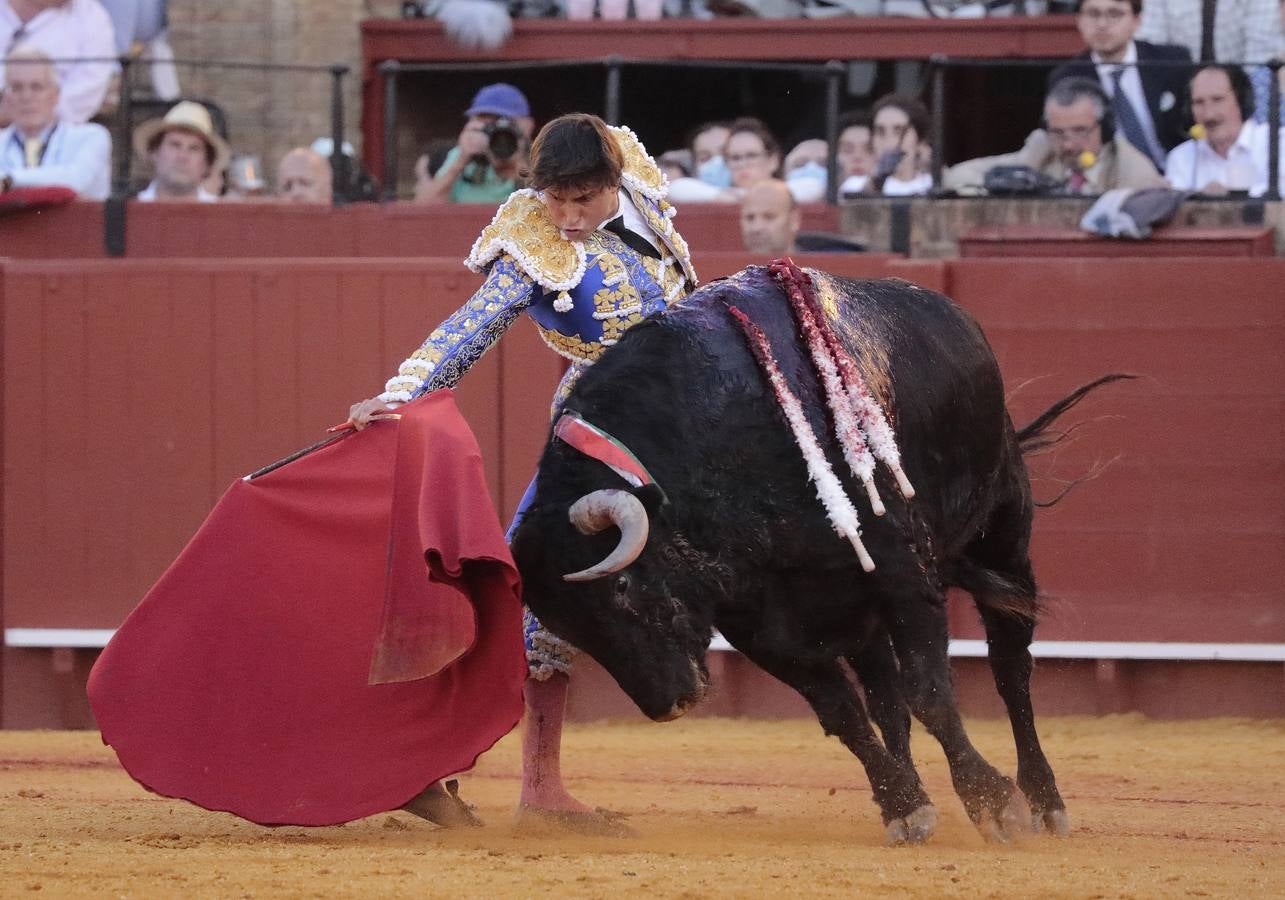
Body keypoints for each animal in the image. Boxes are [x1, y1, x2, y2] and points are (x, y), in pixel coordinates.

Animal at [511, 263, 1125, 848]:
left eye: (620, 587)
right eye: (572, 625)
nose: (671, 704)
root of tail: (954, 314)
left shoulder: (904, 577)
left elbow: (931, 693)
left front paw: (992, 804)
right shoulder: (759, 627)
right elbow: (844, 713)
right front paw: (905, 807)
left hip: (1003, 532)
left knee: (1010, 669)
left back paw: (1044, 801)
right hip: (858, 612)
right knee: (886, 700)